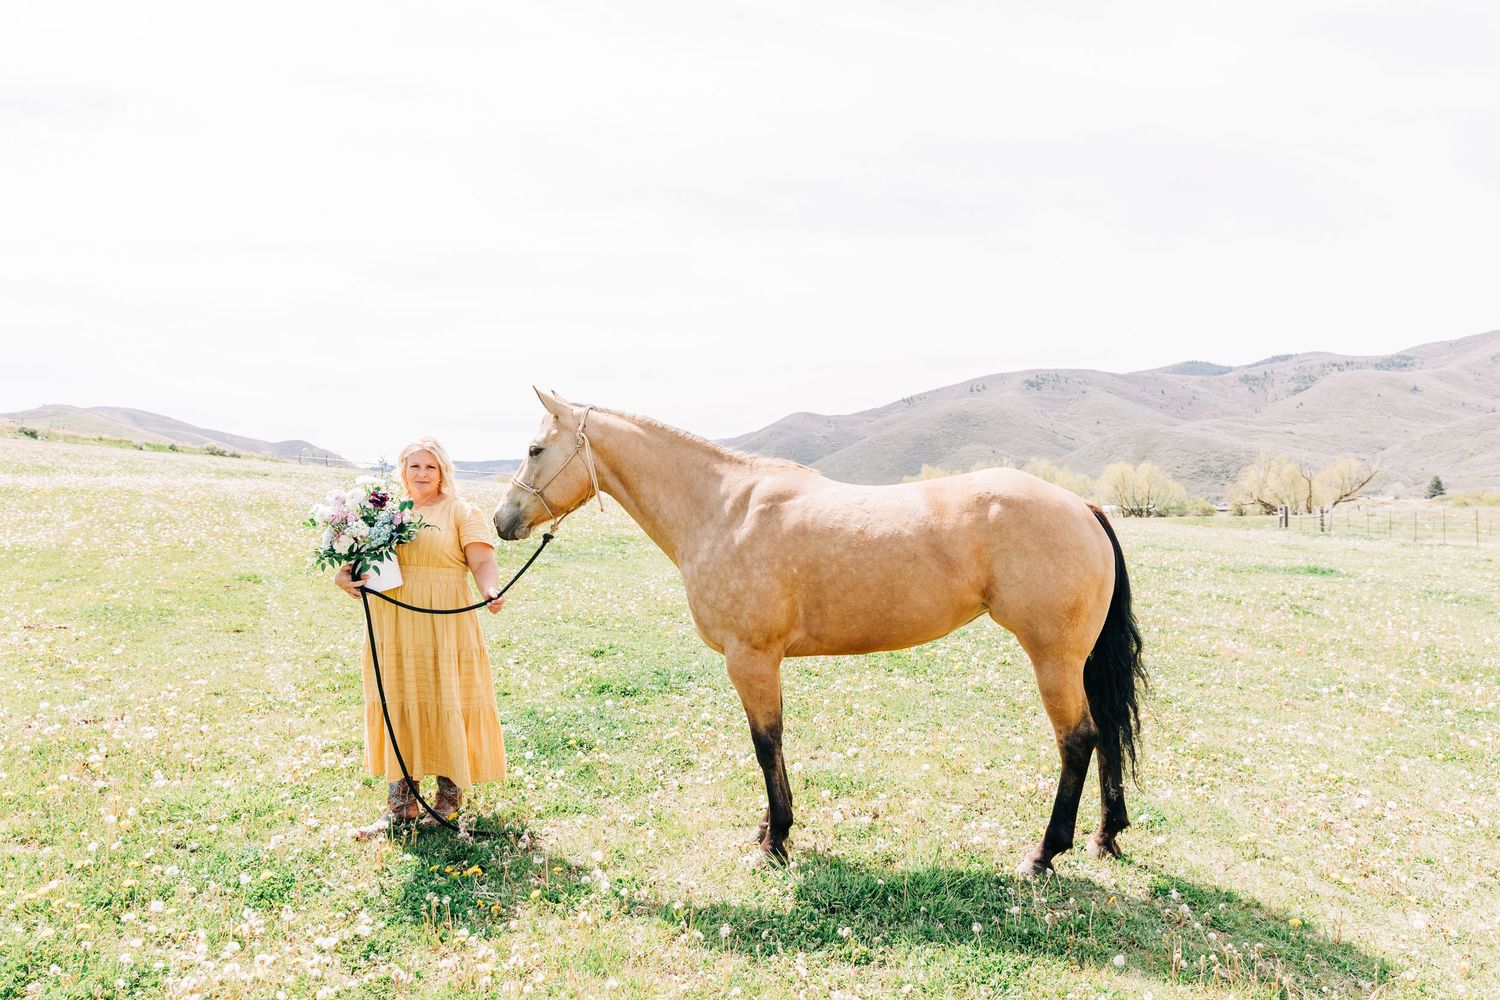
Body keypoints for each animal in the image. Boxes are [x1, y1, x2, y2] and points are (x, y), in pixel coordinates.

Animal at [493, 390, 1145, 876]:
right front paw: (769, 828)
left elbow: (767, 745)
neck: (721, 508)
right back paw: (1105, 835)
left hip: (1053, 659)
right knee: (1108, 732)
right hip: (1079, 660)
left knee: (1079, 740)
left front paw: (775, 839)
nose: (503, 521)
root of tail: (1083, 506)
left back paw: (1044, 854)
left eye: (534, 447)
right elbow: (773, 746)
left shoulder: (751, 660)